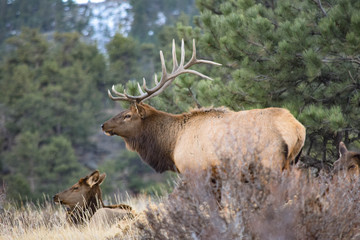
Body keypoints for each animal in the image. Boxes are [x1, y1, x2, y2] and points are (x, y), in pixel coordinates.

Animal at [102, 39, 306, 175]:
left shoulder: (195, 170)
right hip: (293, 163)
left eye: (128, 115)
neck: (171, 146)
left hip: (270, 161)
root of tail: (297, 128)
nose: (104, 125)